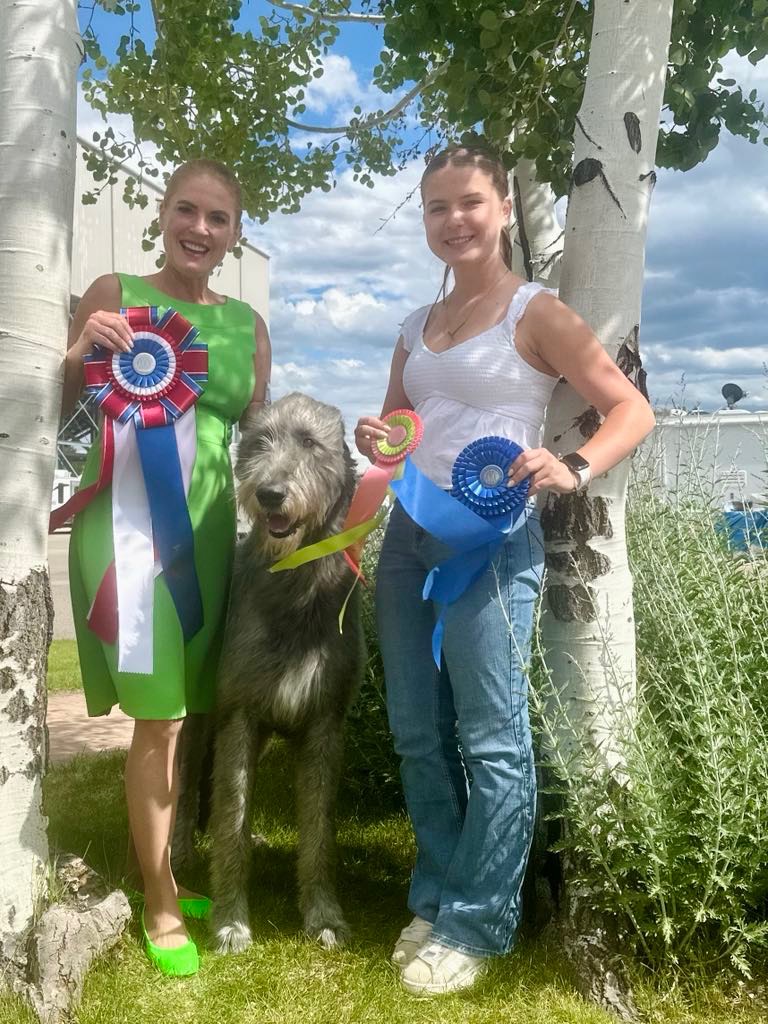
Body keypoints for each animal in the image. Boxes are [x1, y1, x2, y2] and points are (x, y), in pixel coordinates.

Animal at [181, 392, 365, 954]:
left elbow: (319, 827)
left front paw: (324, 915)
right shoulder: (239, 714)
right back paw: (178, 853)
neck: (295, 589)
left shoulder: (326, 722)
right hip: (201, 717)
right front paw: (230, 921)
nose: (269, 494)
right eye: (260, 441)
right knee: (186, 784)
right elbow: (232, 820)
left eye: (309, 443)